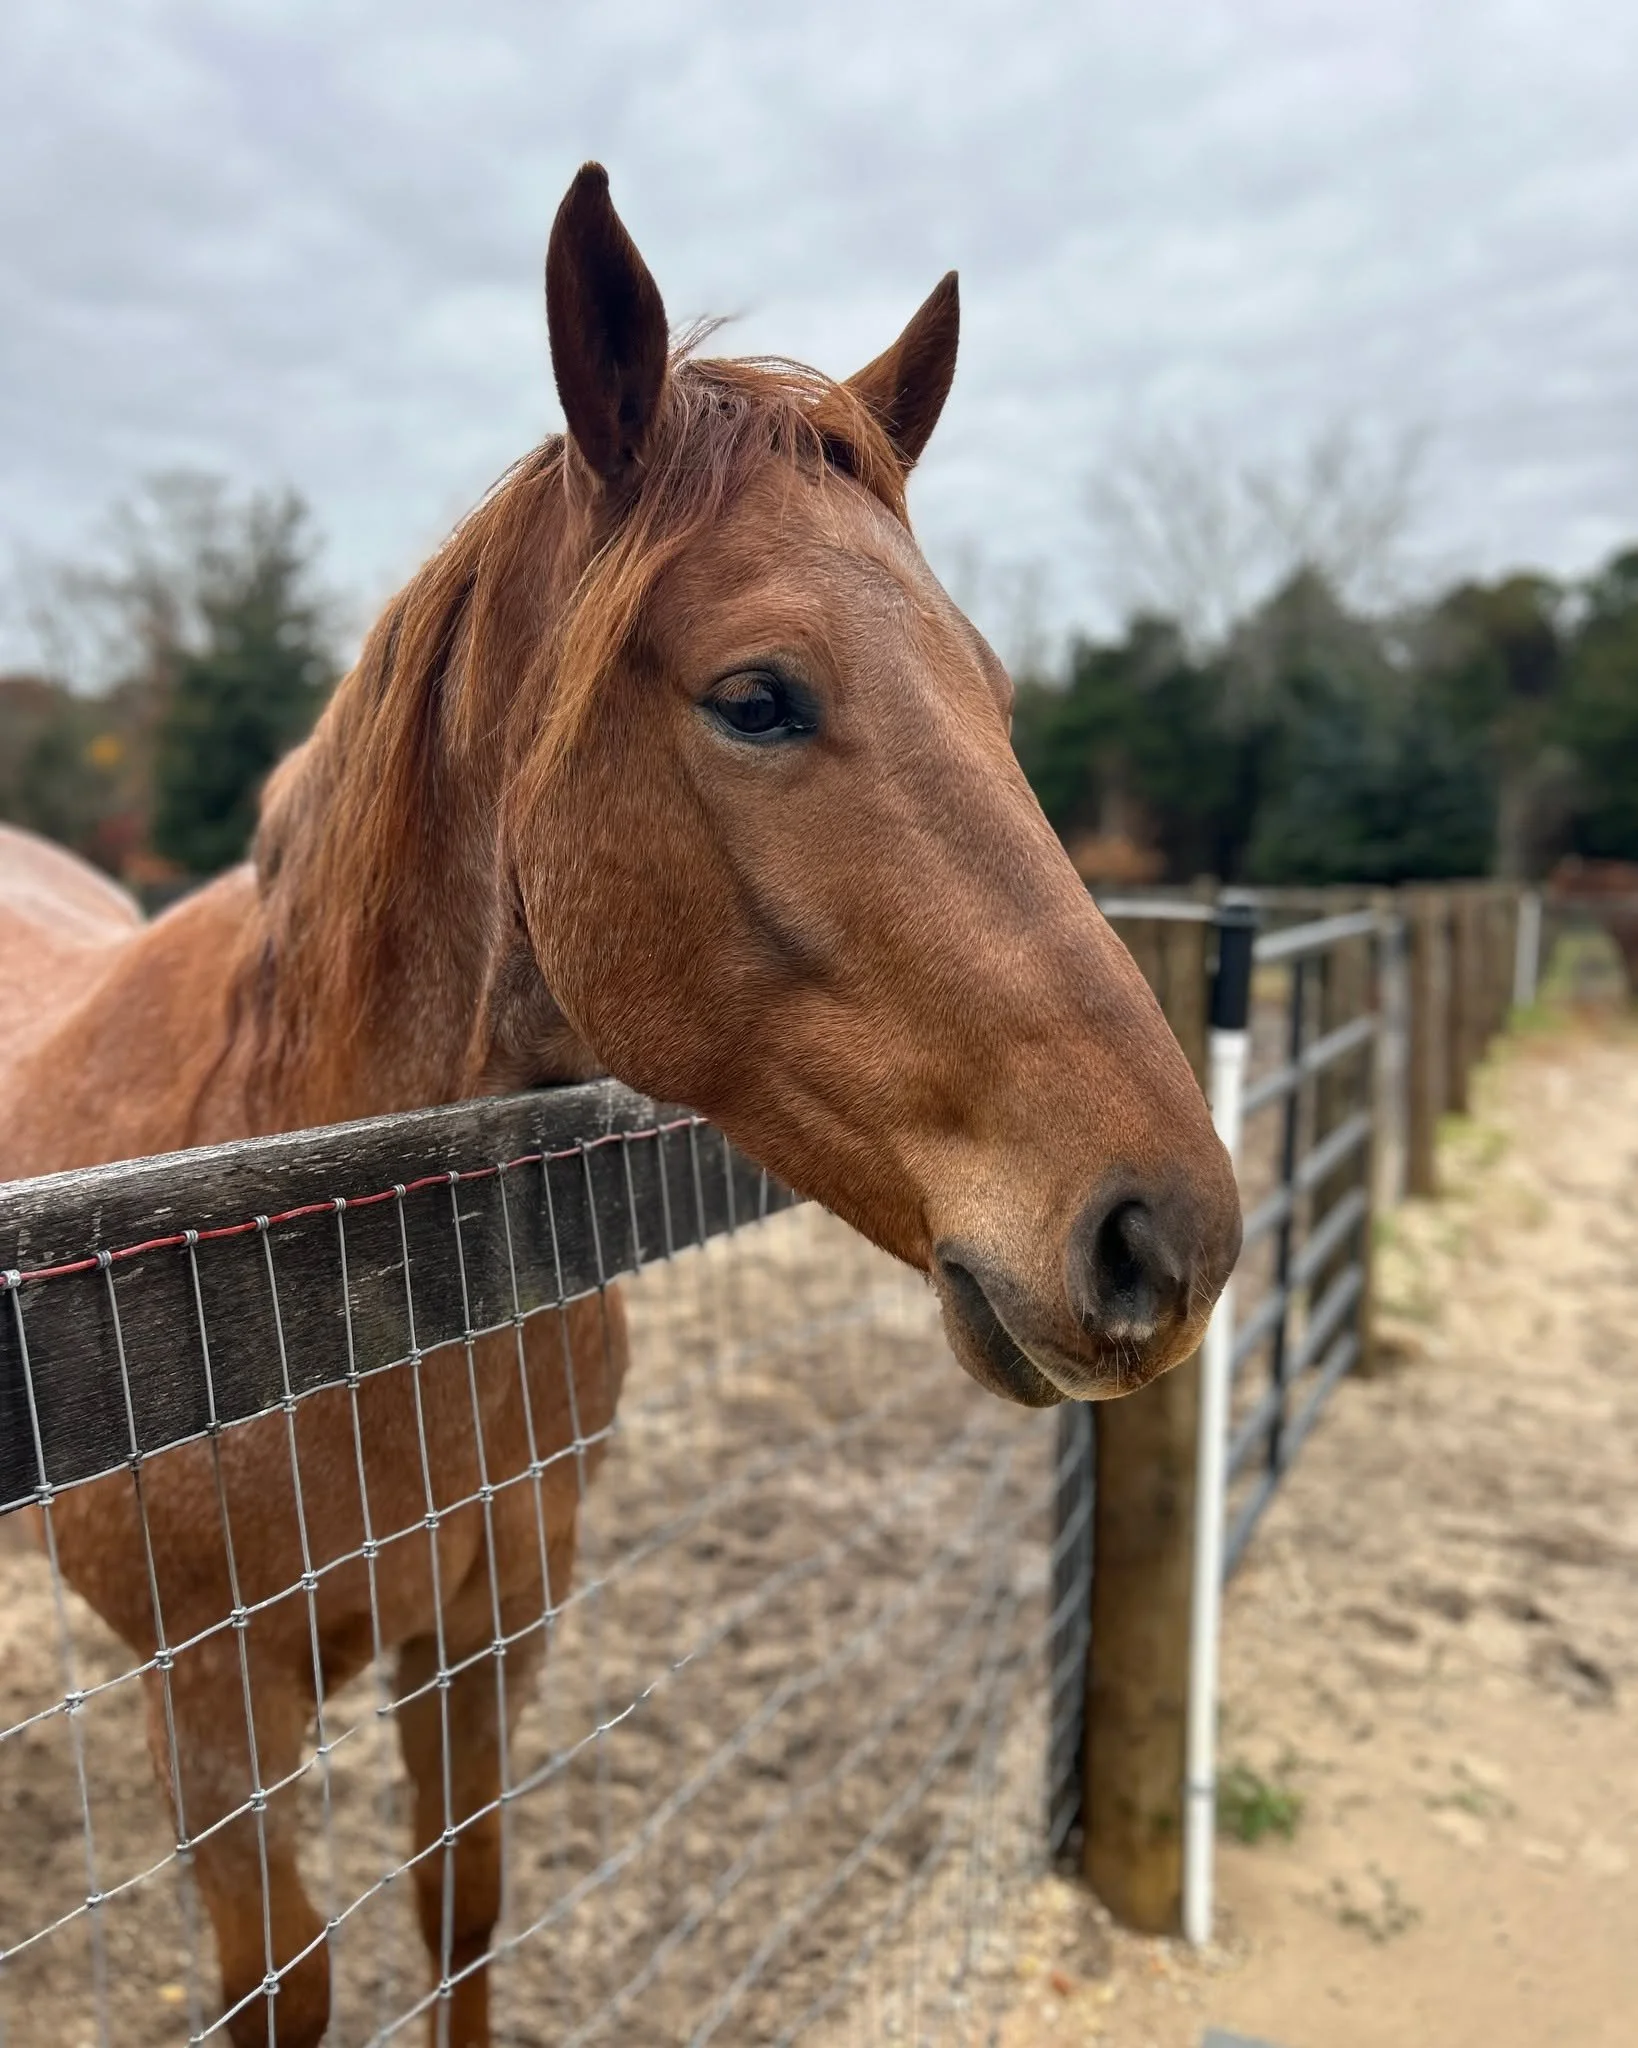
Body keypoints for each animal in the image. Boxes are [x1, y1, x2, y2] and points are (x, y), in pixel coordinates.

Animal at [0, 164, 1241, 2047]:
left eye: (997, 697)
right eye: (755, 695)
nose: (1166, 1235)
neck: (299, 1276)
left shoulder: (490, 1625)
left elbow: (465, 1913)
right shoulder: (217, 1700)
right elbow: (288, 1984)